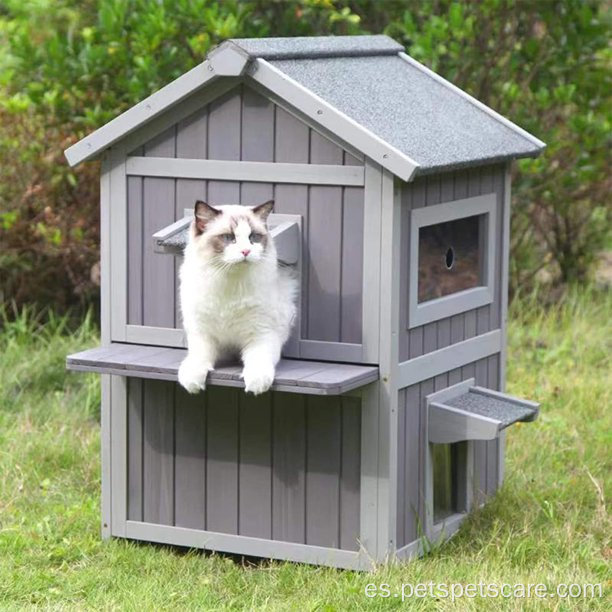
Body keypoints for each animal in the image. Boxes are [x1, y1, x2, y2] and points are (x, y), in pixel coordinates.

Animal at [176, 198, 298, 394]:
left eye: (253, 237)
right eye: (229, 238)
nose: (246, 251)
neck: (230, 283)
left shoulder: (261, 332)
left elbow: (257, 360)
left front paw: (256, 385)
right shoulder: (202, 332)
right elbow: (198, 357)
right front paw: (193, 384)